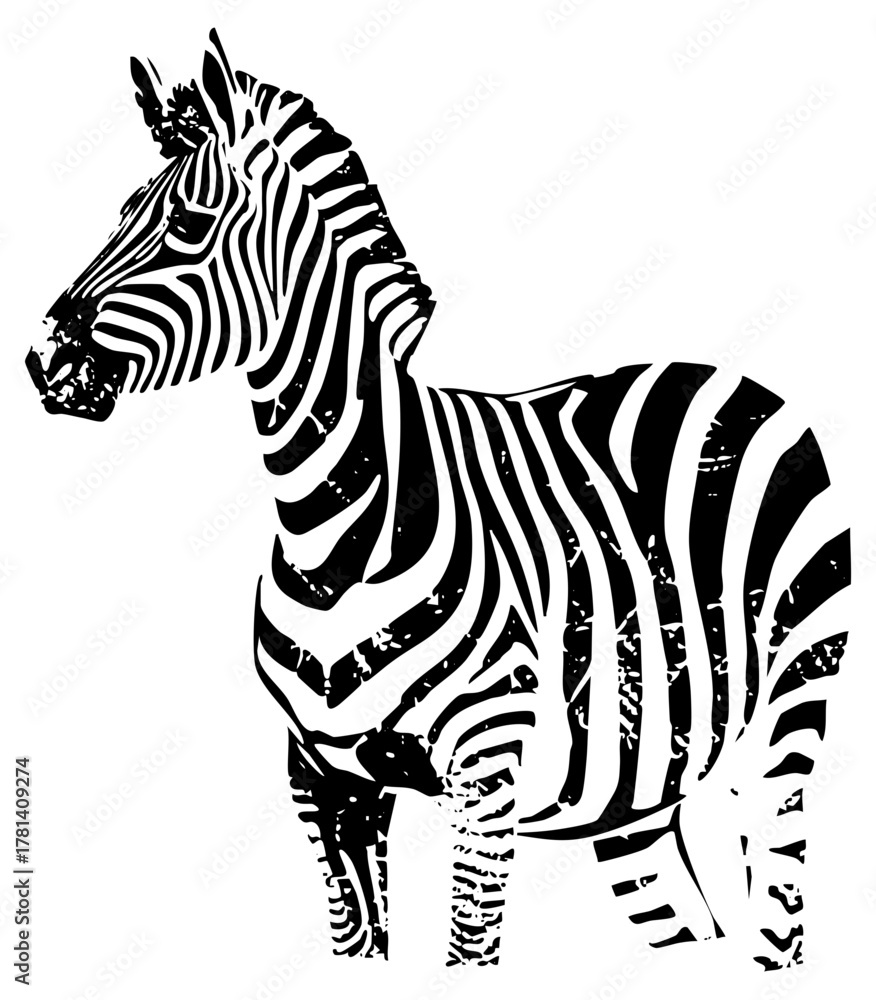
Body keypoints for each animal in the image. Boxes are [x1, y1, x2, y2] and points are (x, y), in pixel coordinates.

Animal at [26, 32, 849, 969]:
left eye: (189, 225)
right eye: (121, 212)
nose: (43, 360)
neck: (333, 533)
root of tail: (738, 379)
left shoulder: (486, 772)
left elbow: (467, 948)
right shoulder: (325, 780)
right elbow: (358, 943)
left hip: (785, 723)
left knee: (778, 919)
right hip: (635, 781)